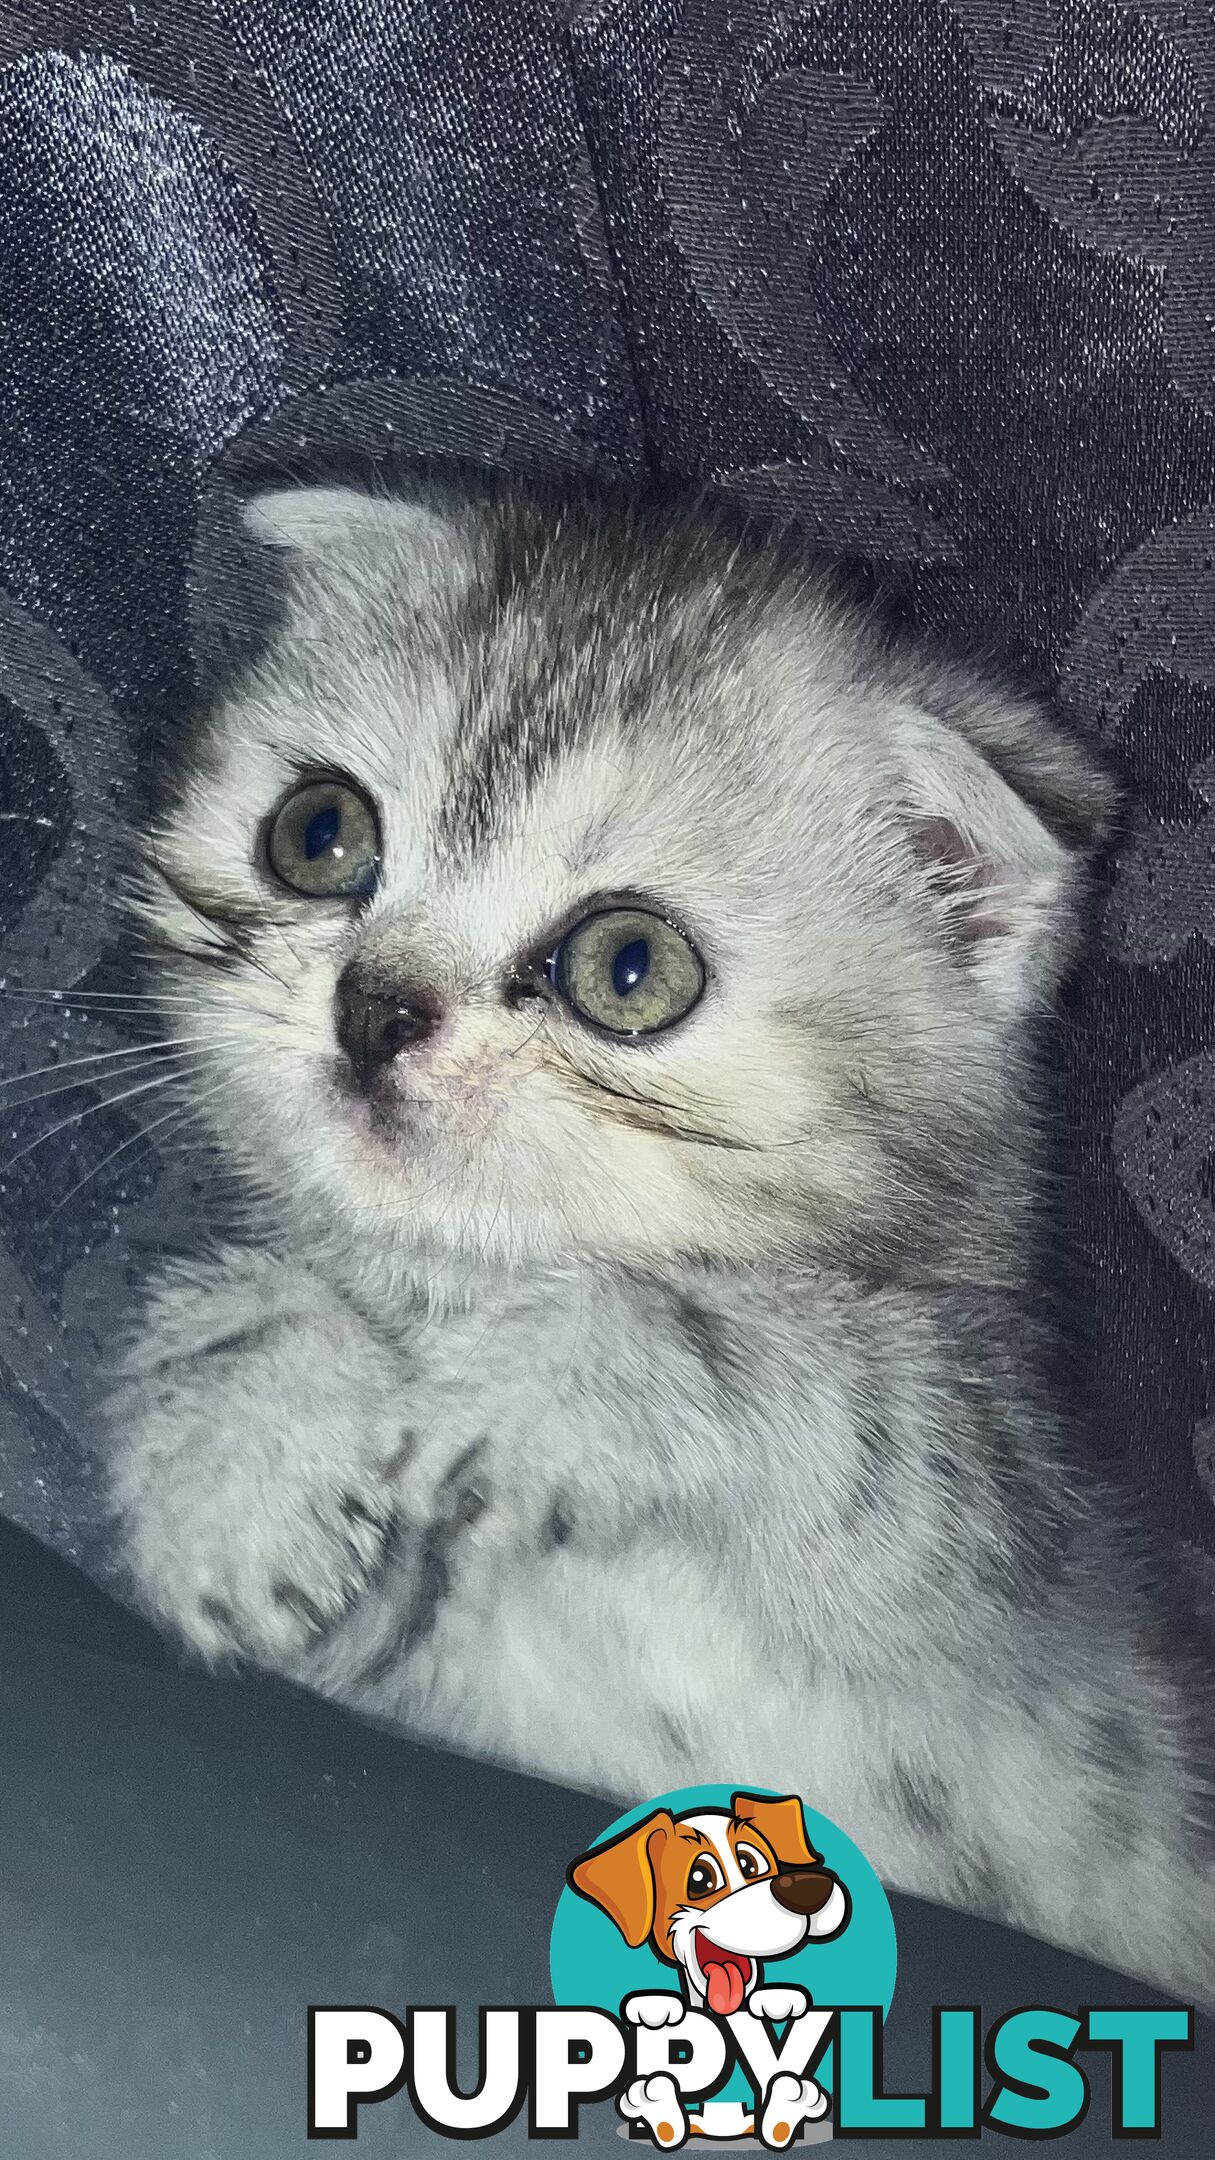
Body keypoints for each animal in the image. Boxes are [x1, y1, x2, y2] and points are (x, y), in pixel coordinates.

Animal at [108, 464, 1202, 1995]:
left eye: (629, 968)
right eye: (318, 834)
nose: (375, 1008)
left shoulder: (1012, 1583)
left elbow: (843, 1384)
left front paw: (546, 1377)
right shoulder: (413, 1691)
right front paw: (233, 1446)